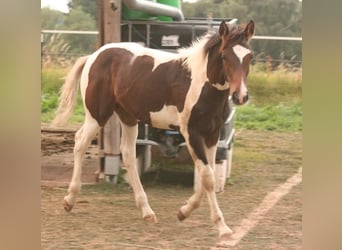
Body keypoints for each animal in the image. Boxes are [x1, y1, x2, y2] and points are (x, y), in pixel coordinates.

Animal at [52, 20, 254, 245]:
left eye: (250, 57)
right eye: (225, 56)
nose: (240, 96)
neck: (200, 83)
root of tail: (93, 56)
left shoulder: (212, 134)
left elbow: (206, 176)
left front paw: (183, 212)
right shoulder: (192, 133)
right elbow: (208, 177)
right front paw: (223, 228)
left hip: (128, 117)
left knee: (128, 154)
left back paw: (147, 211)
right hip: (98, 114)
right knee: (80, 142)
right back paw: (69, 200)